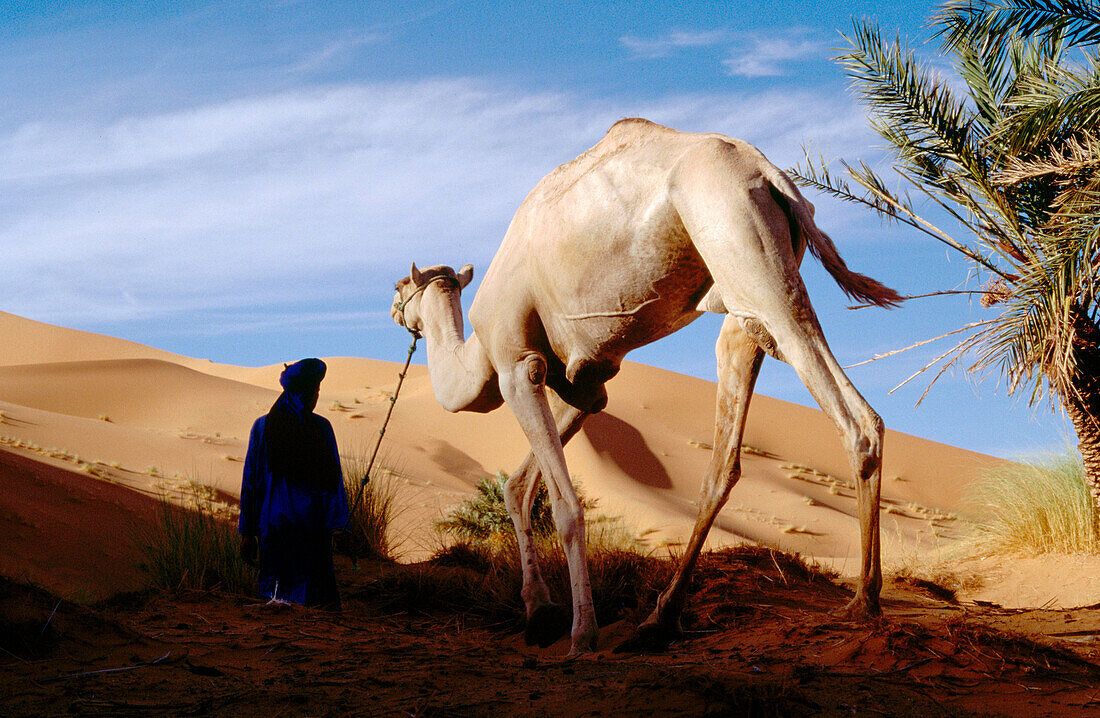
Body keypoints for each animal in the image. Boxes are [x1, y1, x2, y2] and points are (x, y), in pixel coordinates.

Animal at [391, 118, 897, 655]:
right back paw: (660, 619)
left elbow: (565, 505)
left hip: (740, 238)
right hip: (748, 288)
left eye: (401, 288)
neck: (477, 356)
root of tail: (772, 175)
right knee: (731, 445)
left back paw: (862, 603)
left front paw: (580, 633)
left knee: (852, 418)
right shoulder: (589, 384)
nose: (393, 309)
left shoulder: (516, 365)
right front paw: (539, 611)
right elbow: (518, 485)